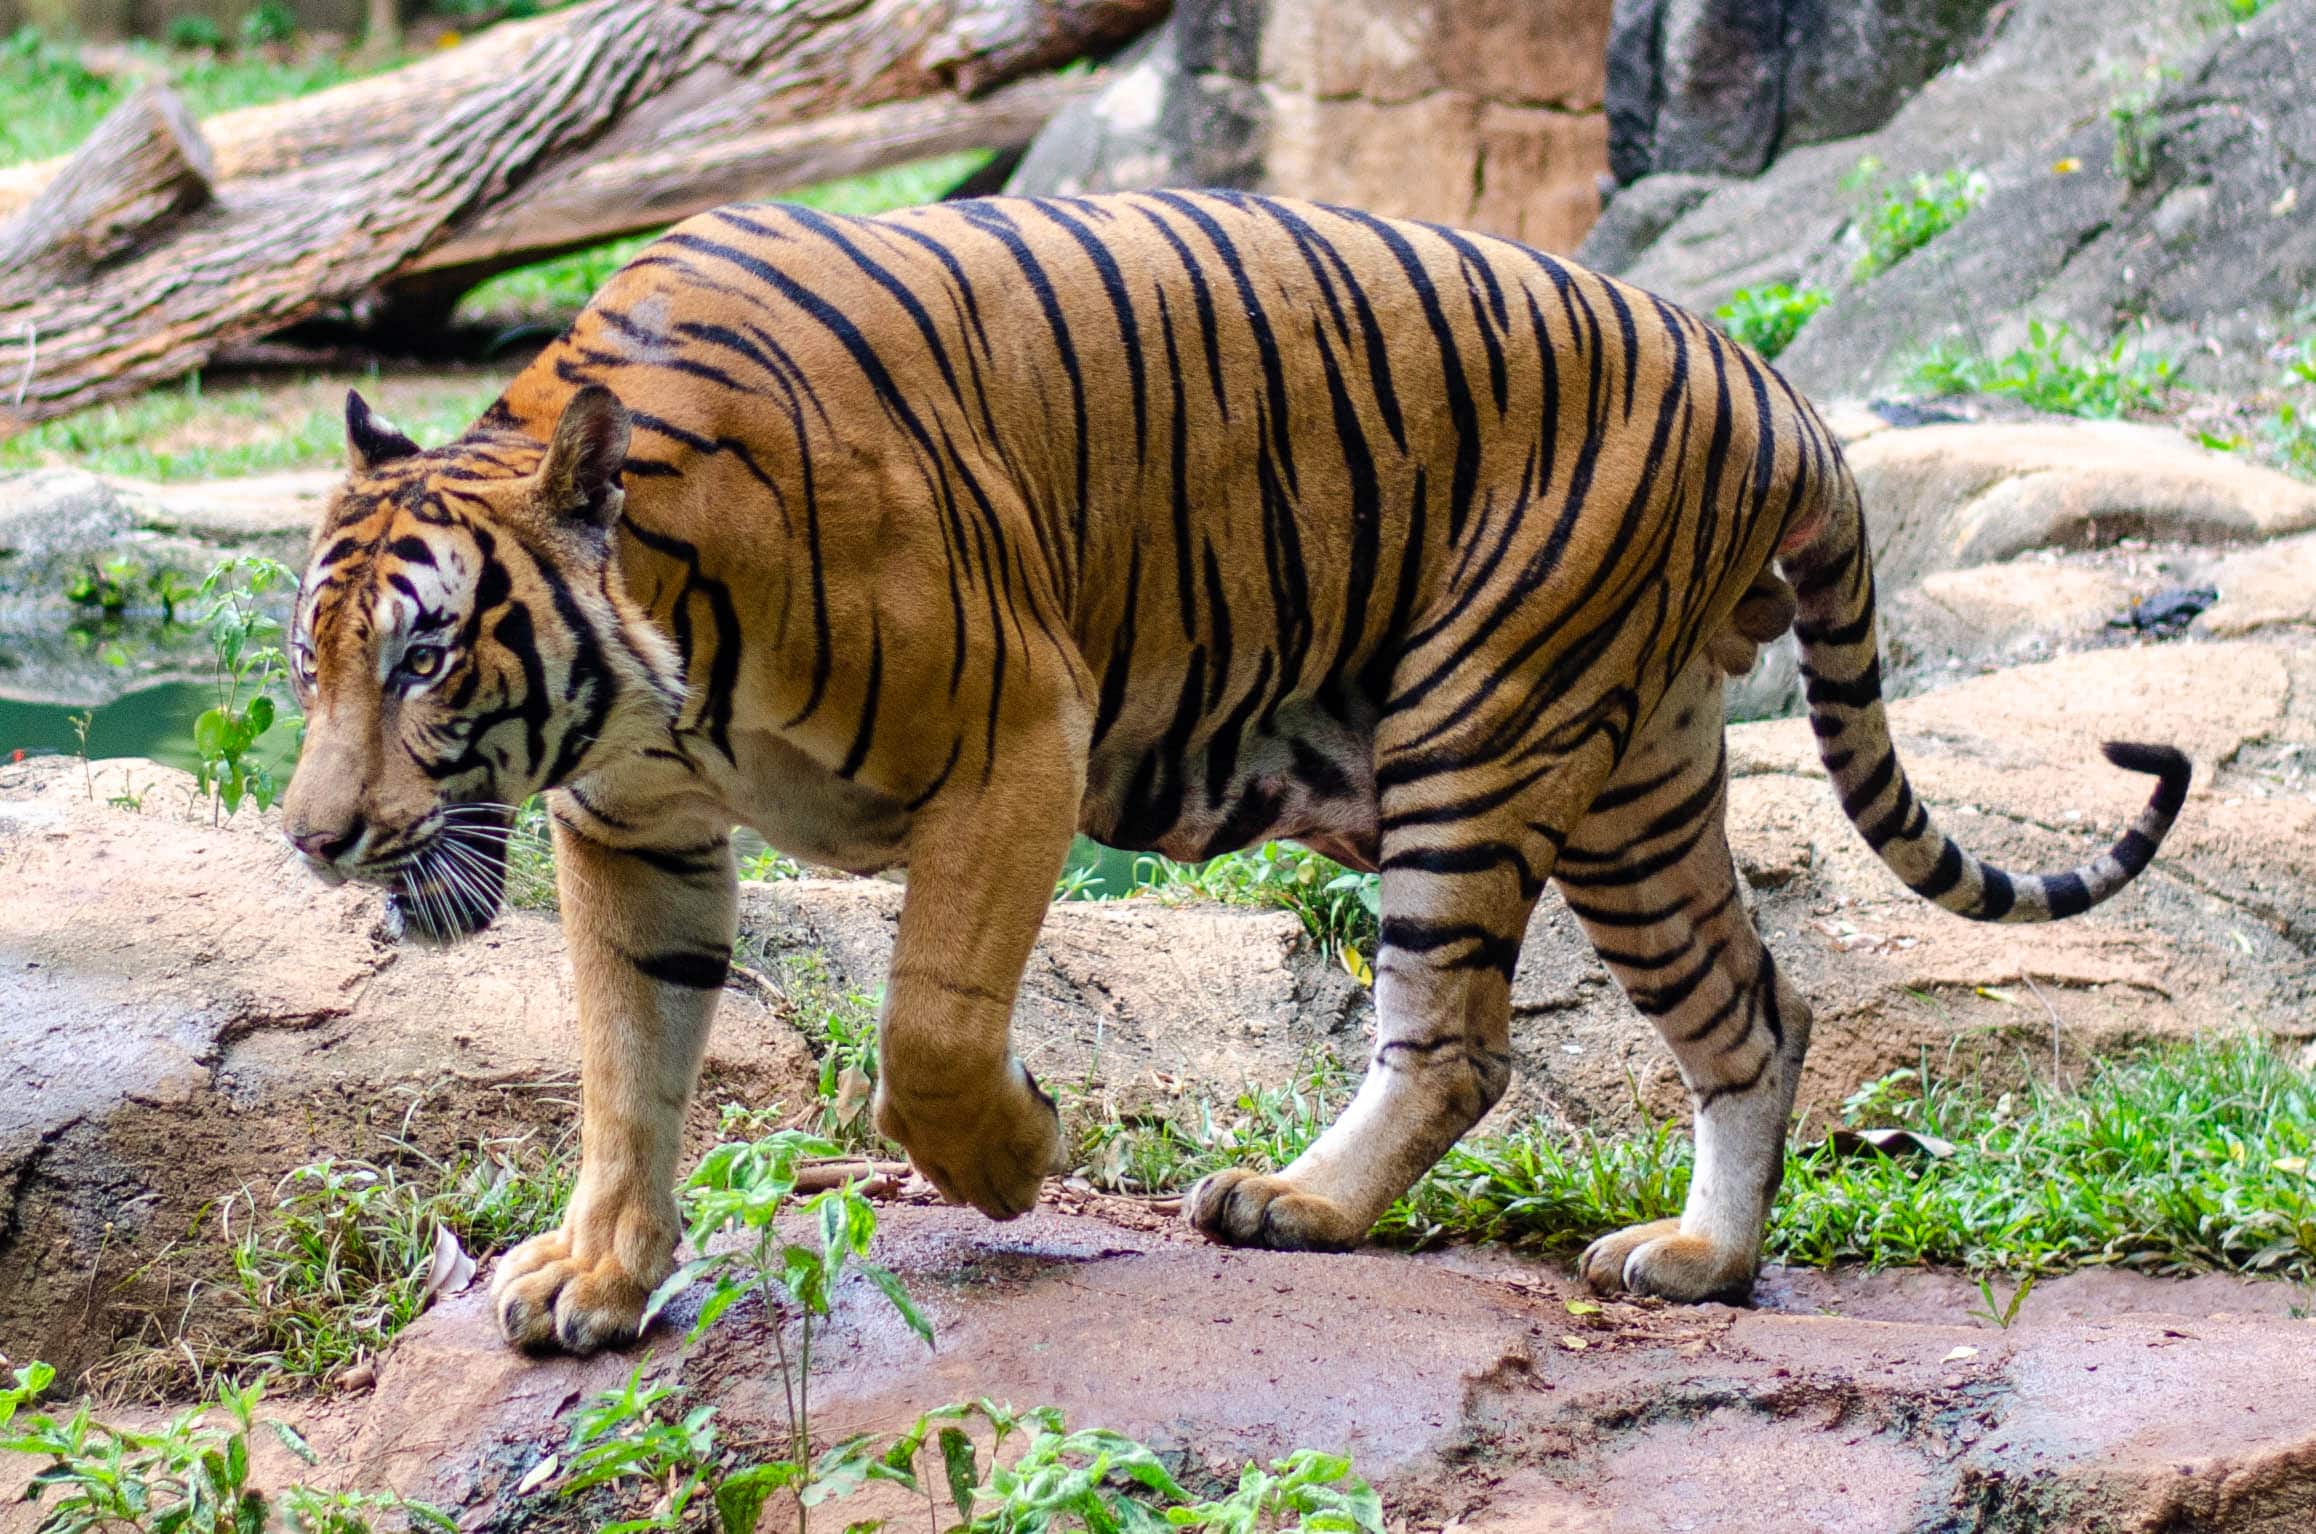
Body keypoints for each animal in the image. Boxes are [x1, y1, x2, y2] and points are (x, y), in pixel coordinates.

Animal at [276, 190, 2190, 1355]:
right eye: (311, 665)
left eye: (424, 657)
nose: (313, 839)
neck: (642, 679)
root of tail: (1775, 386)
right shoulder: (635, 832)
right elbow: (627, 1067)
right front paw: (598, 1276)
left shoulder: (1020, 732)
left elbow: (930, 1027)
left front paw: (1015, 1156)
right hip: (1634, 782)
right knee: (1756, 1009)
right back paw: (1699, 1259)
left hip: (1475, 723)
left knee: (1457, 1035)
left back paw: (1302, 1203)